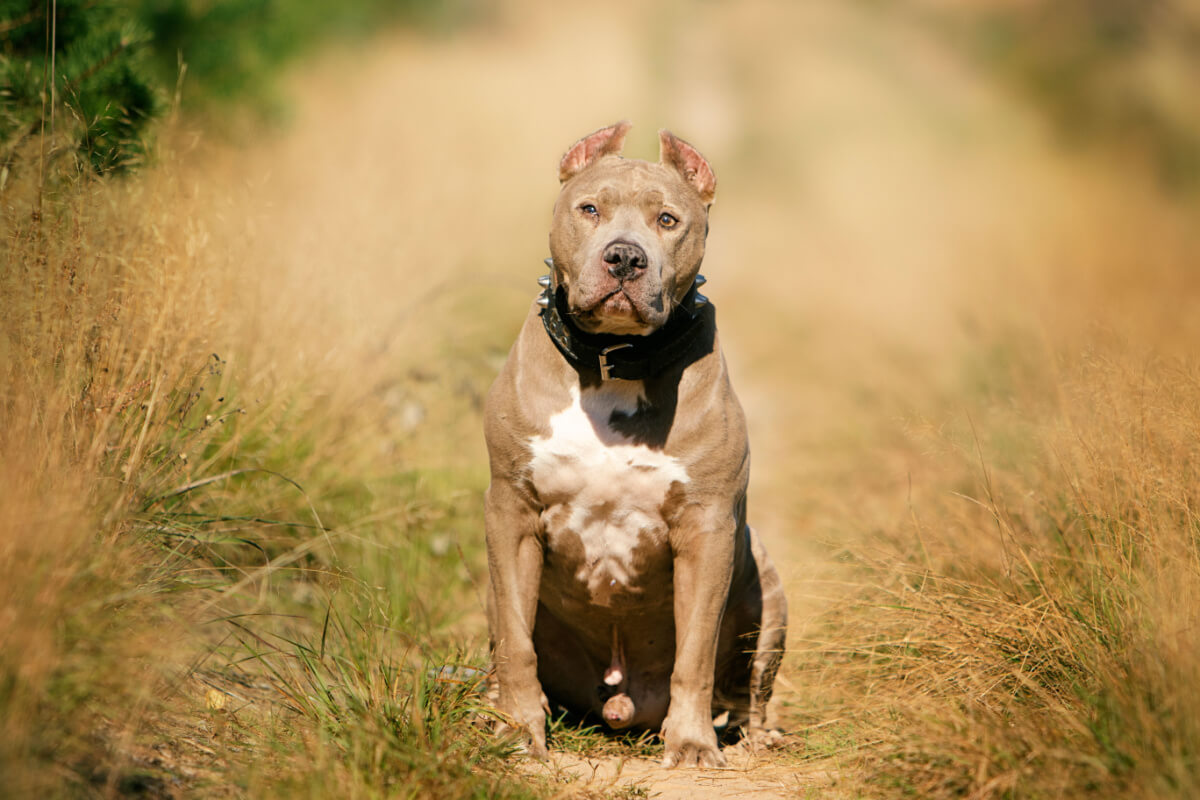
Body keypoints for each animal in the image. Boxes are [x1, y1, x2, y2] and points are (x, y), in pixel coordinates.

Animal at [482, 122, 792, 767]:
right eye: (589, 209)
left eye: (668, 220)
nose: (624, 256)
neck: (613, 361)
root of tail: (622, 703)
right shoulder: (510, 512)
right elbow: (517, 643)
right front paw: (520, 729)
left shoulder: (708, 528)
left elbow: (696, 653)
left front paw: (694, 743)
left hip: (765, 584)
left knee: (748, 688)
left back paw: (755, 735)